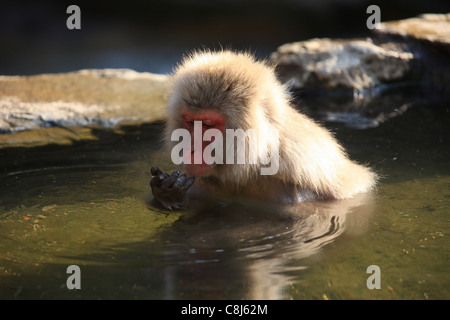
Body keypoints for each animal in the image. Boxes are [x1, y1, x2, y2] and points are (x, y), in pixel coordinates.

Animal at [149, 50, 374, 210]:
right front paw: (167, 193)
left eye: (208, 125)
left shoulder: (294, 190)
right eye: (190, 122)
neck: (252, 166)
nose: (192, 148)